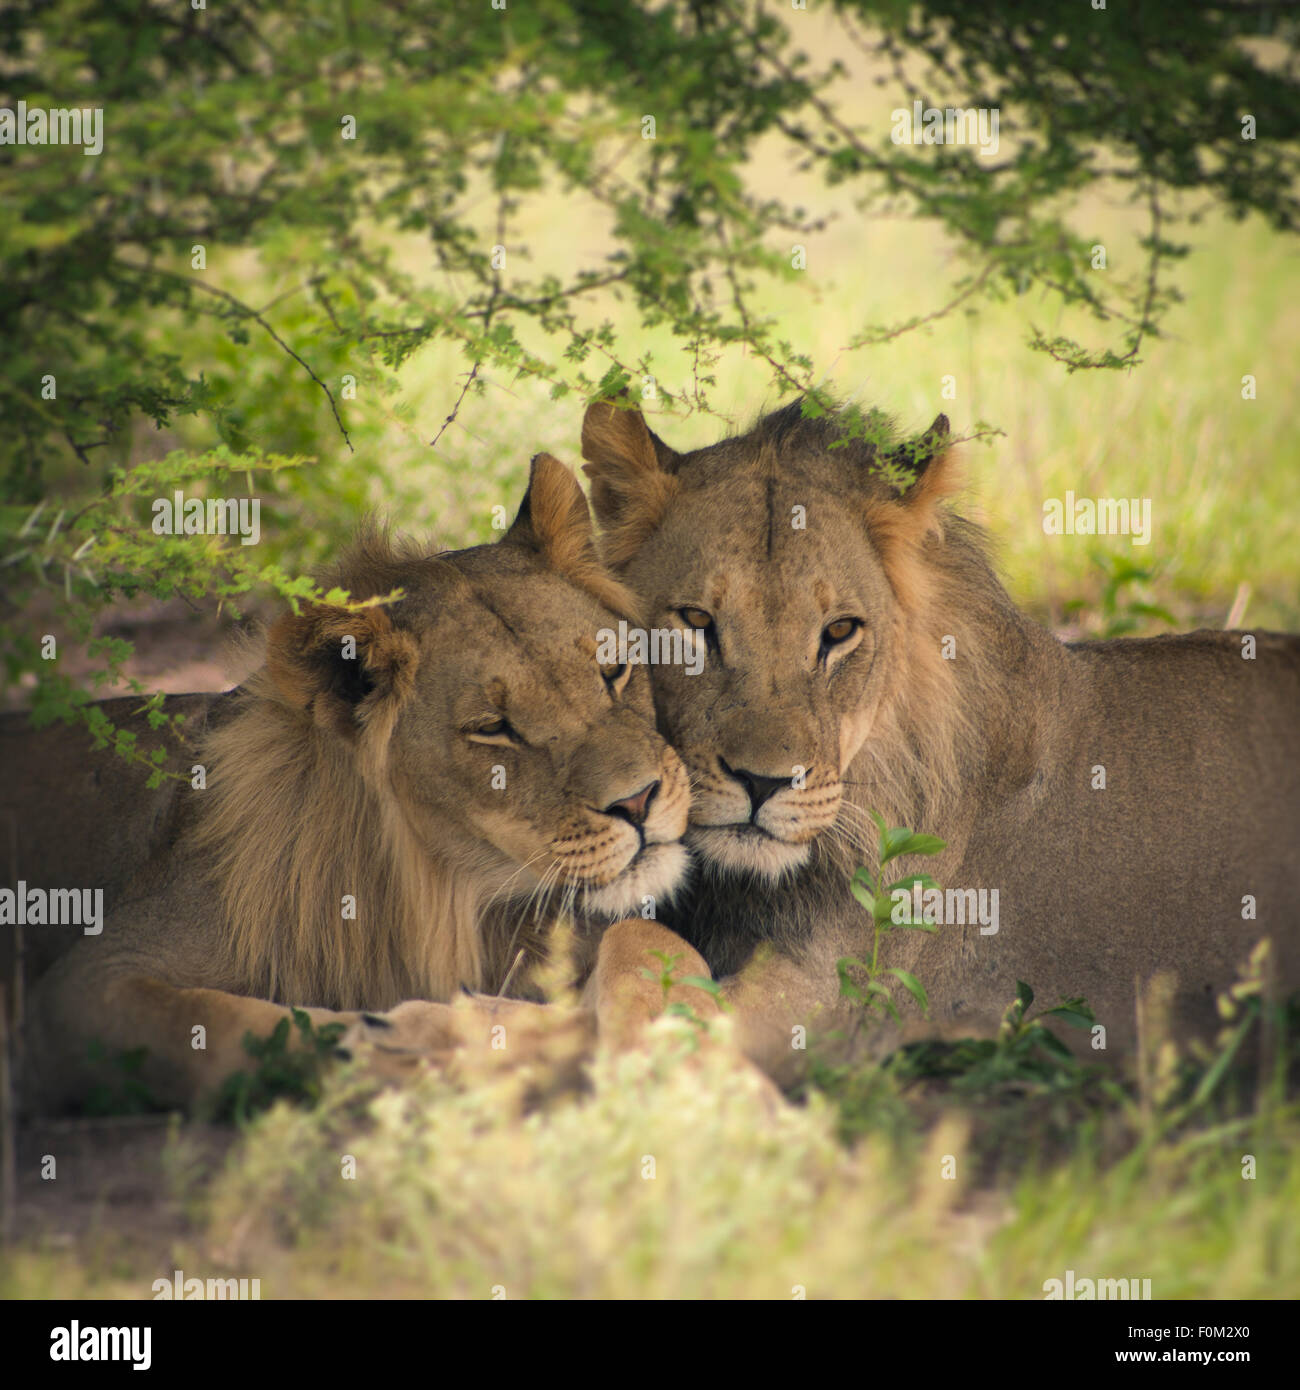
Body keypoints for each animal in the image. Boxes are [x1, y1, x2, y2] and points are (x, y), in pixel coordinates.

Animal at [2, 453, 715, 1113]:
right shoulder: (86, 982)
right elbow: (223, 1024)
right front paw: (399, 1046)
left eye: (614, 669)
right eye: (494, 729)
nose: (639, 800)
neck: (452, 894)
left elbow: (650, 941)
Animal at [580, 397, 1300, 1081]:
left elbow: (631, 954)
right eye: (695, 620)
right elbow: (627, 939)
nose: (764, 783)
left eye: (839, 631)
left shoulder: (829, 1001)